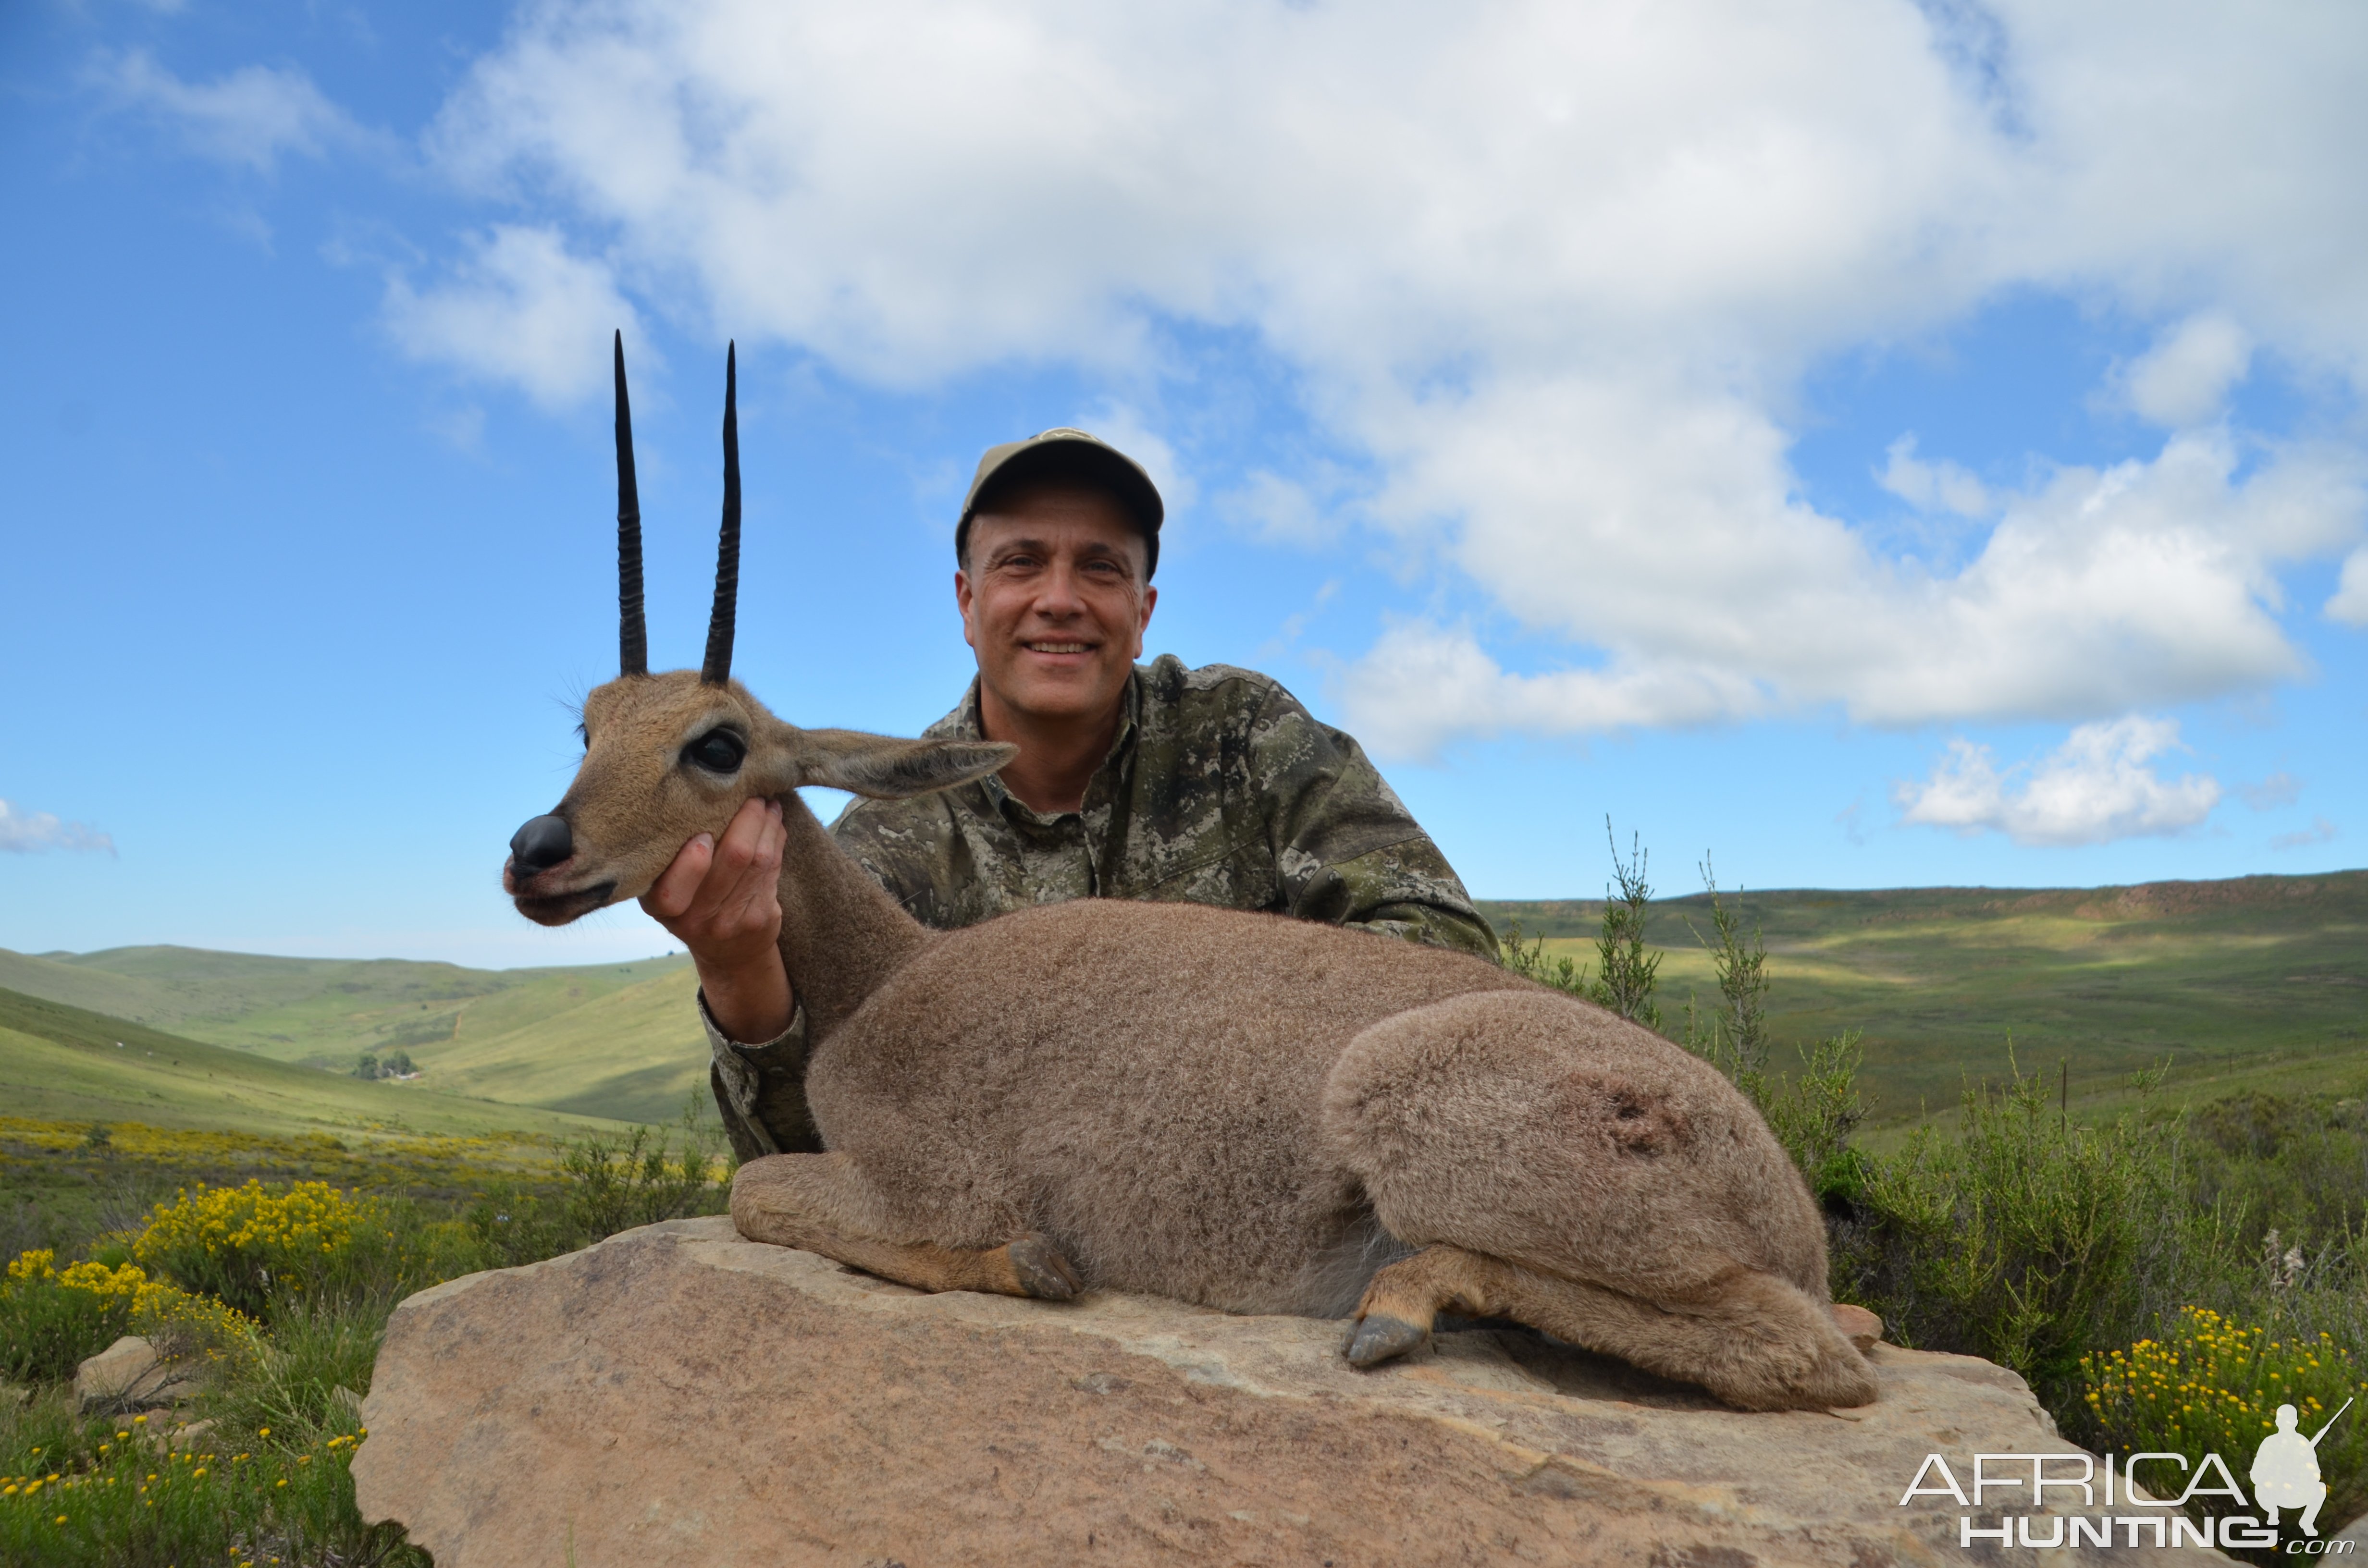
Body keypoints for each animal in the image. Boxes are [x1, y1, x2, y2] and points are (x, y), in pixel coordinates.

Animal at [509, 339, 1875, 1421]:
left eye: (716, 744)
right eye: (588, 726)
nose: (539, 852)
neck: (884, 976)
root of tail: (1782, 1201)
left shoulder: (927, 1180)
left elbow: (761, 1195)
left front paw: (1033, 1264)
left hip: (1412, 1117)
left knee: (1815, 1357)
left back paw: (1400, 1308)